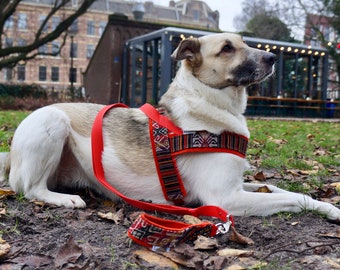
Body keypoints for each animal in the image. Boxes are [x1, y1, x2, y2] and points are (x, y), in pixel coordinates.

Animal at [2, 32, 340, 221]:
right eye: (227, 48)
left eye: (245, 43)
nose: (272, 58)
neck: (209, 104)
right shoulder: (225, 198)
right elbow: (295, 198)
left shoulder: (237, 185)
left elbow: (279, 188)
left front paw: (329, 208)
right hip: (53, 122)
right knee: (29, 188)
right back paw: (63, 199)